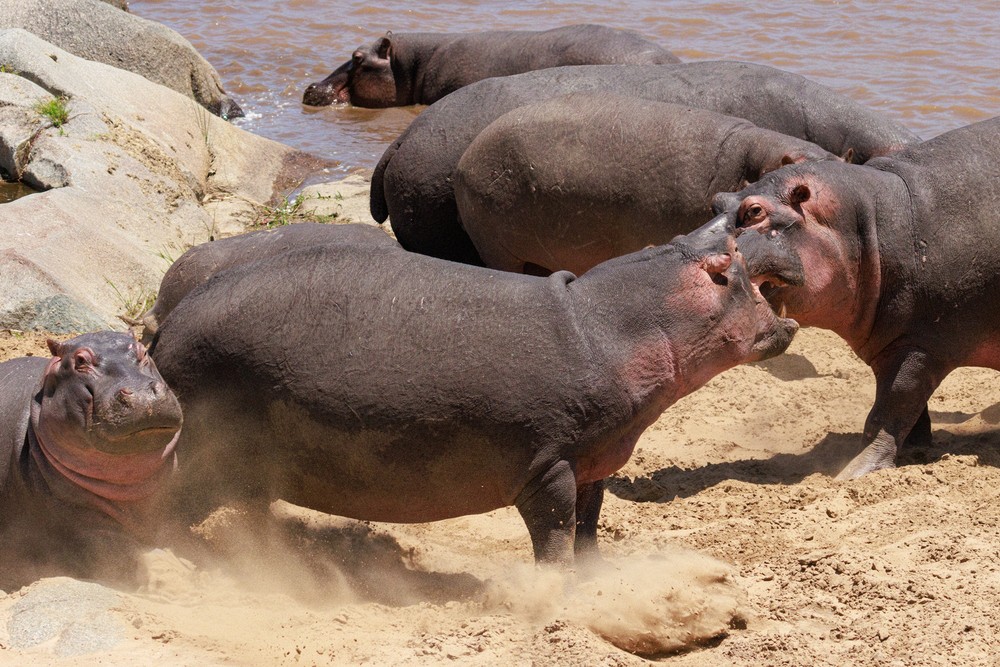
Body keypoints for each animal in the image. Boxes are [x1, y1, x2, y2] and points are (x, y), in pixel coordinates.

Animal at [711, 116, 1000, 480]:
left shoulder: (921, 343)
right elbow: (907, 409)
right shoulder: (896, 344)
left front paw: (853, 473)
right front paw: (915, 452)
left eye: (754, 211)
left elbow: (891, 406)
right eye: (717, 201)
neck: (871, 223)